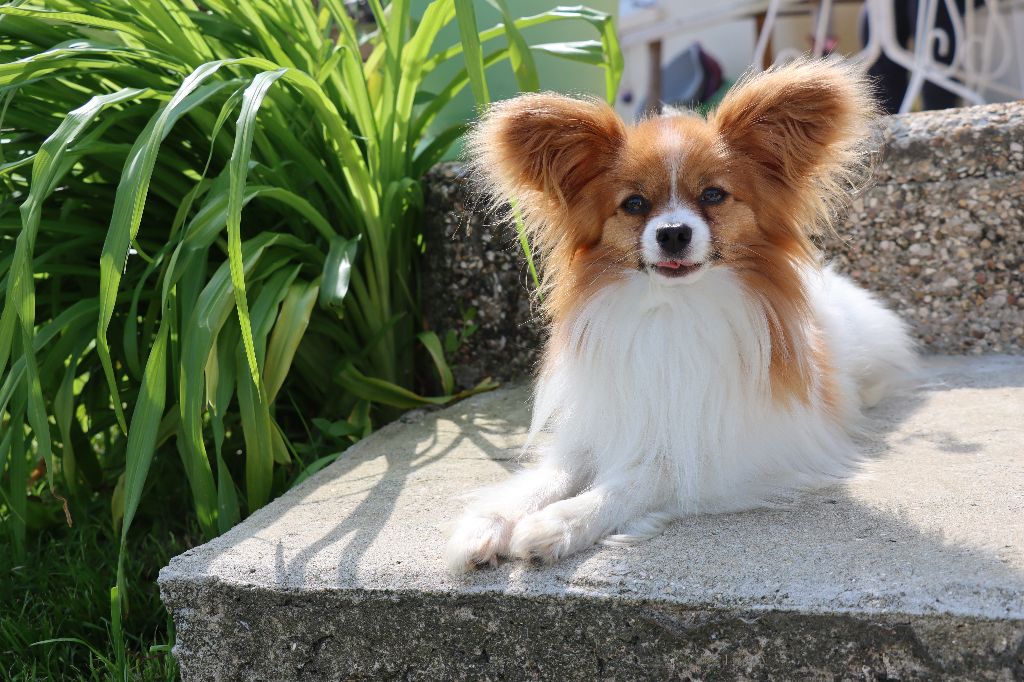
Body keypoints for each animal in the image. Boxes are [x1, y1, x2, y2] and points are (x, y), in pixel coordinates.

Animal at [444, 58, 917, 569]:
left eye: (713, 195)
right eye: (634, 204)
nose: (672, 232)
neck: (674, 308)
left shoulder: (727, 458)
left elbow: (641, 479)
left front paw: (562, 522)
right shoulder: (604, 425)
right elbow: (550, 477)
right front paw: (489, 521)